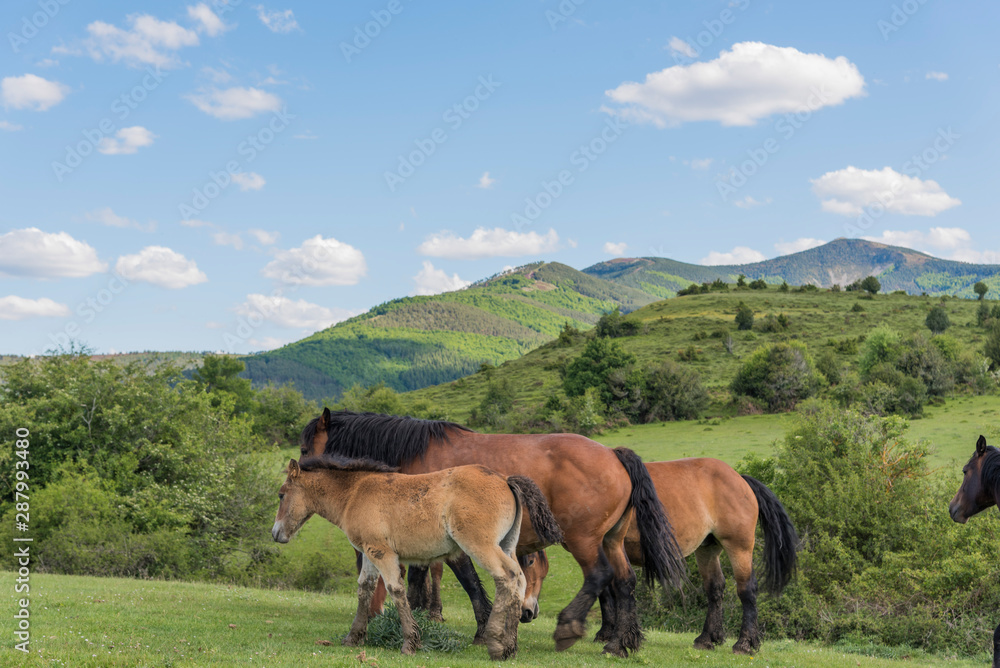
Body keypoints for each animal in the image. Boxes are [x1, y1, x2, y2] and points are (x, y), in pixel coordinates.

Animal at [271, 454, 563, 660]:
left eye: (281, 494)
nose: (275, 534)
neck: (355, 493)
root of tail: (504, 479)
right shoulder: (368, 553)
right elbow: (365, 589)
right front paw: (353, 637)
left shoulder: (382, 552)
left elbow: (396, 590)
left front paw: (410, 643)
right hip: (507, 545)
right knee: (519, 581)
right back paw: (511, 646)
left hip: (481, 546)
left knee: (507, 578)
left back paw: (496, 645)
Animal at [301, 408, 687, 657]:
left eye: (304, 449)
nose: (301, 471)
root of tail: (613, 454)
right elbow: (422, 580)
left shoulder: (455, 545)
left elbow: (467, 583)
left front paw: (480, 628)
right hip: (611, 541)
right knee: (624, 581)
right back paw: (620, 643)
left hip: (583, 541)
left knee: (600, 576)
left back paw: (570, 627)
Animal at [518, 458, 798, 654]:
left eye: (530, 562)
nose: (527, 613)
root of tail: (739, 478)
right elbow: (607, 591)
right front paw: (609, 633)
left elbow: (609, 590)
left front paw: (609, 634)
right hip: (708, 550)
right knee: (715, 589)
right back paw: (707, 638)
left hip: (739, 548)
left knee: (746, 590)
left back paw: (745, 644)